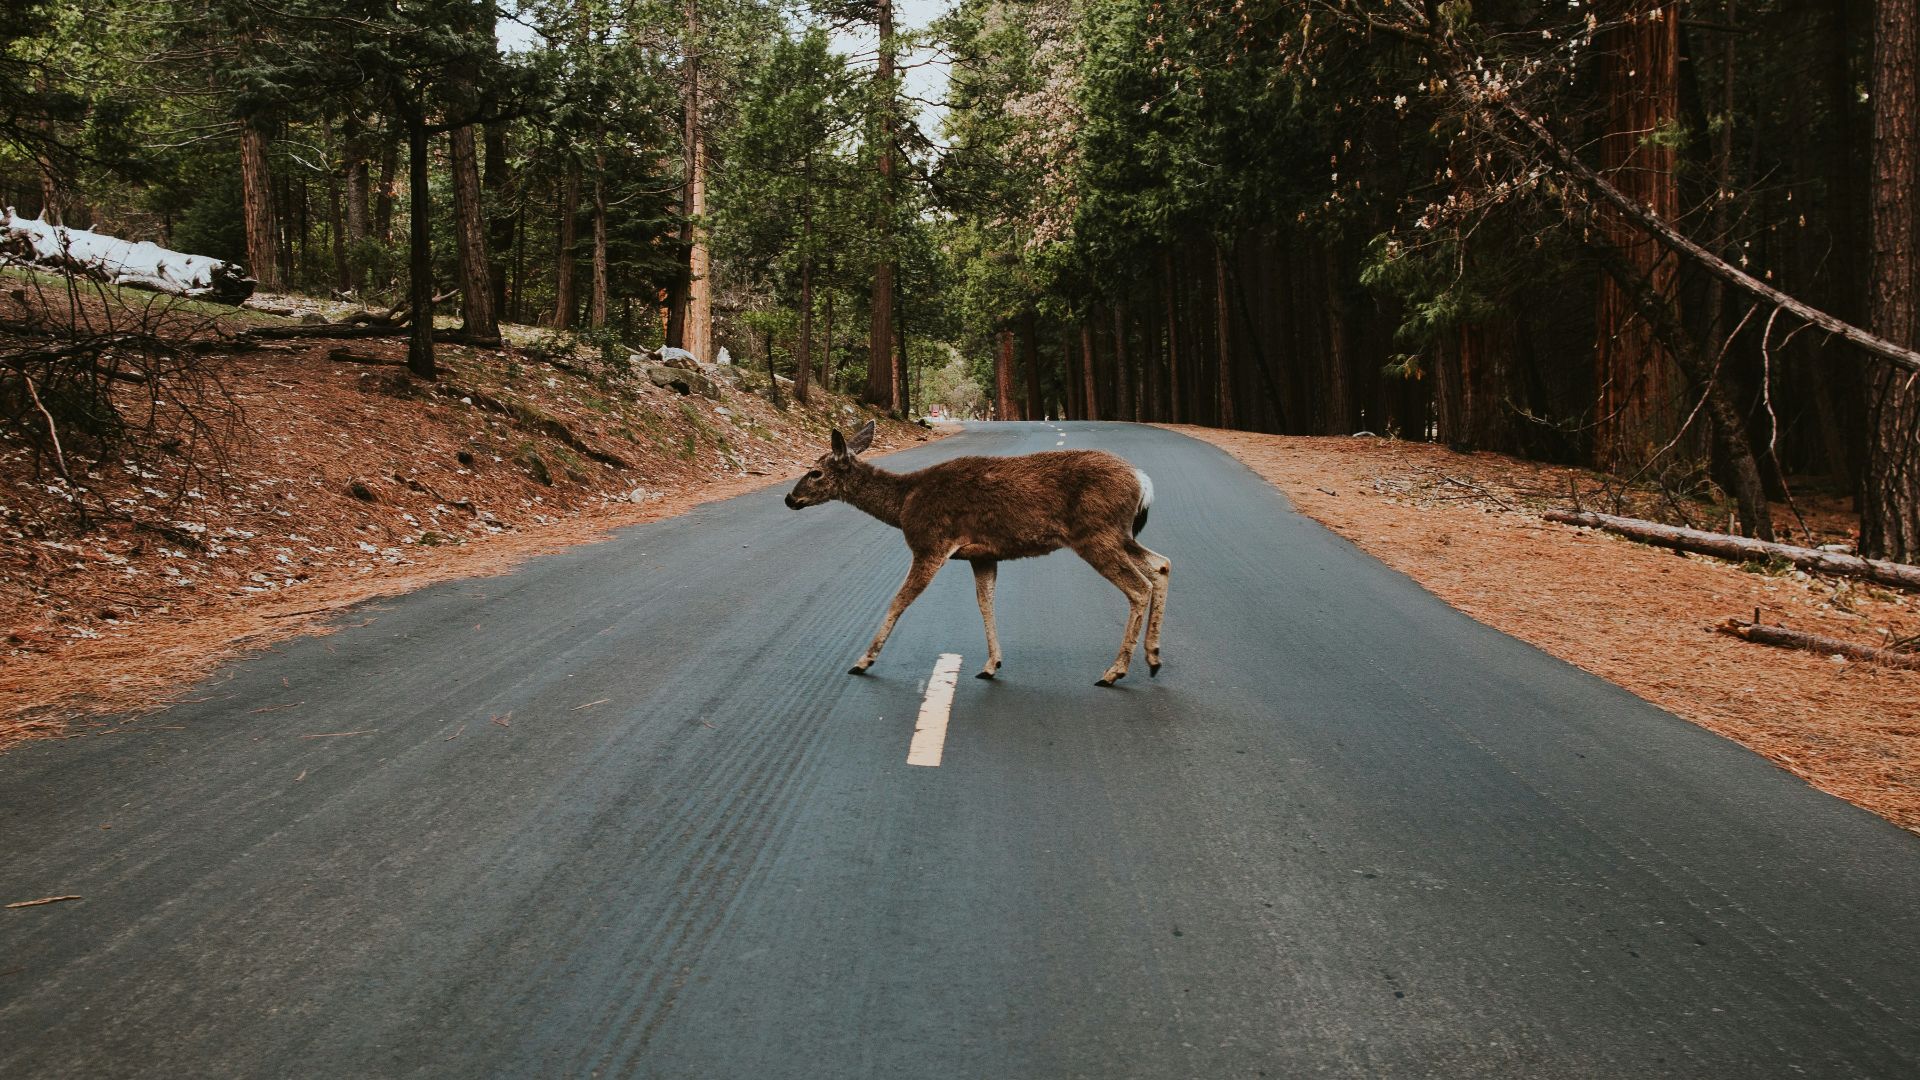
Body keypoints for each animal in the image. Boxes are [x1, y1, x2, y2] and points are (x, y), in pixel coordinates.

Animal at [784, 421, 1170, 686]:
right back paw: (1153, 659)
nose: (790, 498)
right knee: (1161, 565)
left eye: (815, 472)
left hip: (1096, 534)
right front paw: (991, 664)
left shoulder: (931, 544)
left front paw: (863, 661)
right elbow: (986, 601)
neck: (905, 503)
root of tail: (1142, 480)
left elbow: (899, 600)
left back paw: (1114, 671)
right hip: (1119, 534)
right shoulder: (982, 555)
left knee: (1139, 587)